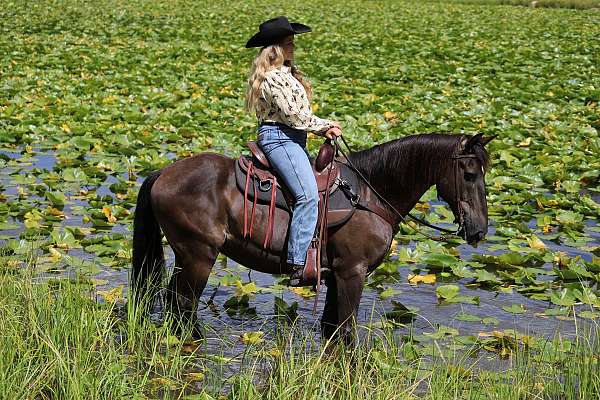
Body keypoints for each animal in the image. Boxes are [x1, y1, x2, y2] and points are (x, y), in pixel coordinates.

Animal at [134, 133, 494, 340]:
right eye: (469, 174)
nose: (479, 230)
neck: (370, 195)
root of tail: (163, 173)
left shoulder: (335, 275)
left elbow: (331, 329)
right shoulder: (352, 272)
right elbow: (346, 331)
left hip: (187, 256)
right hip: (199, 255)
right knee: (184, 304)